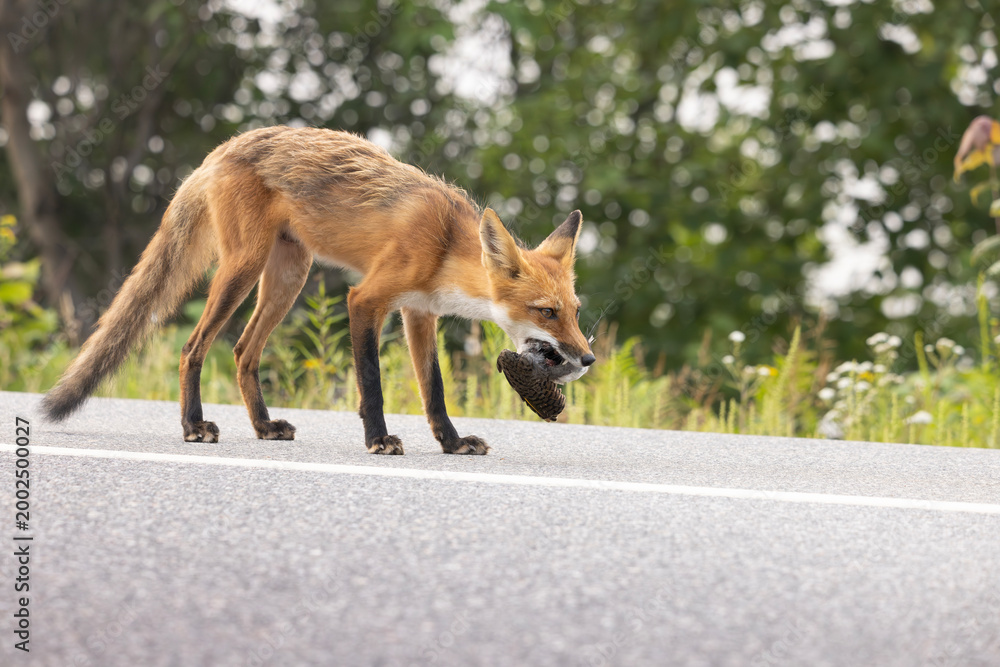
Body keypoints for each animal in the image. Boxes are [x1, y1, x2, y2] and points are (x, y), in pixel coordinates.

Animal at [41, 126, 596, 455]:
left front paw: (452, 442)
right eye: (546, 312)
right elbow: (371, 382)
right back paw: (194, 428)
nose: (588, 359)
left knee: (243, 352)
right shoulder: (366, 300)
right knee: (193, 347)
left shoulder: (419, 314)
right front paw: (378, 439)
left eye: (573, 310)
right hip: (243, 269)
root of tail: (226, 145)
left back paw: (264, 428)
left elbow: (433, 391)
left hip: (289, 276)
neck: (443, 246)